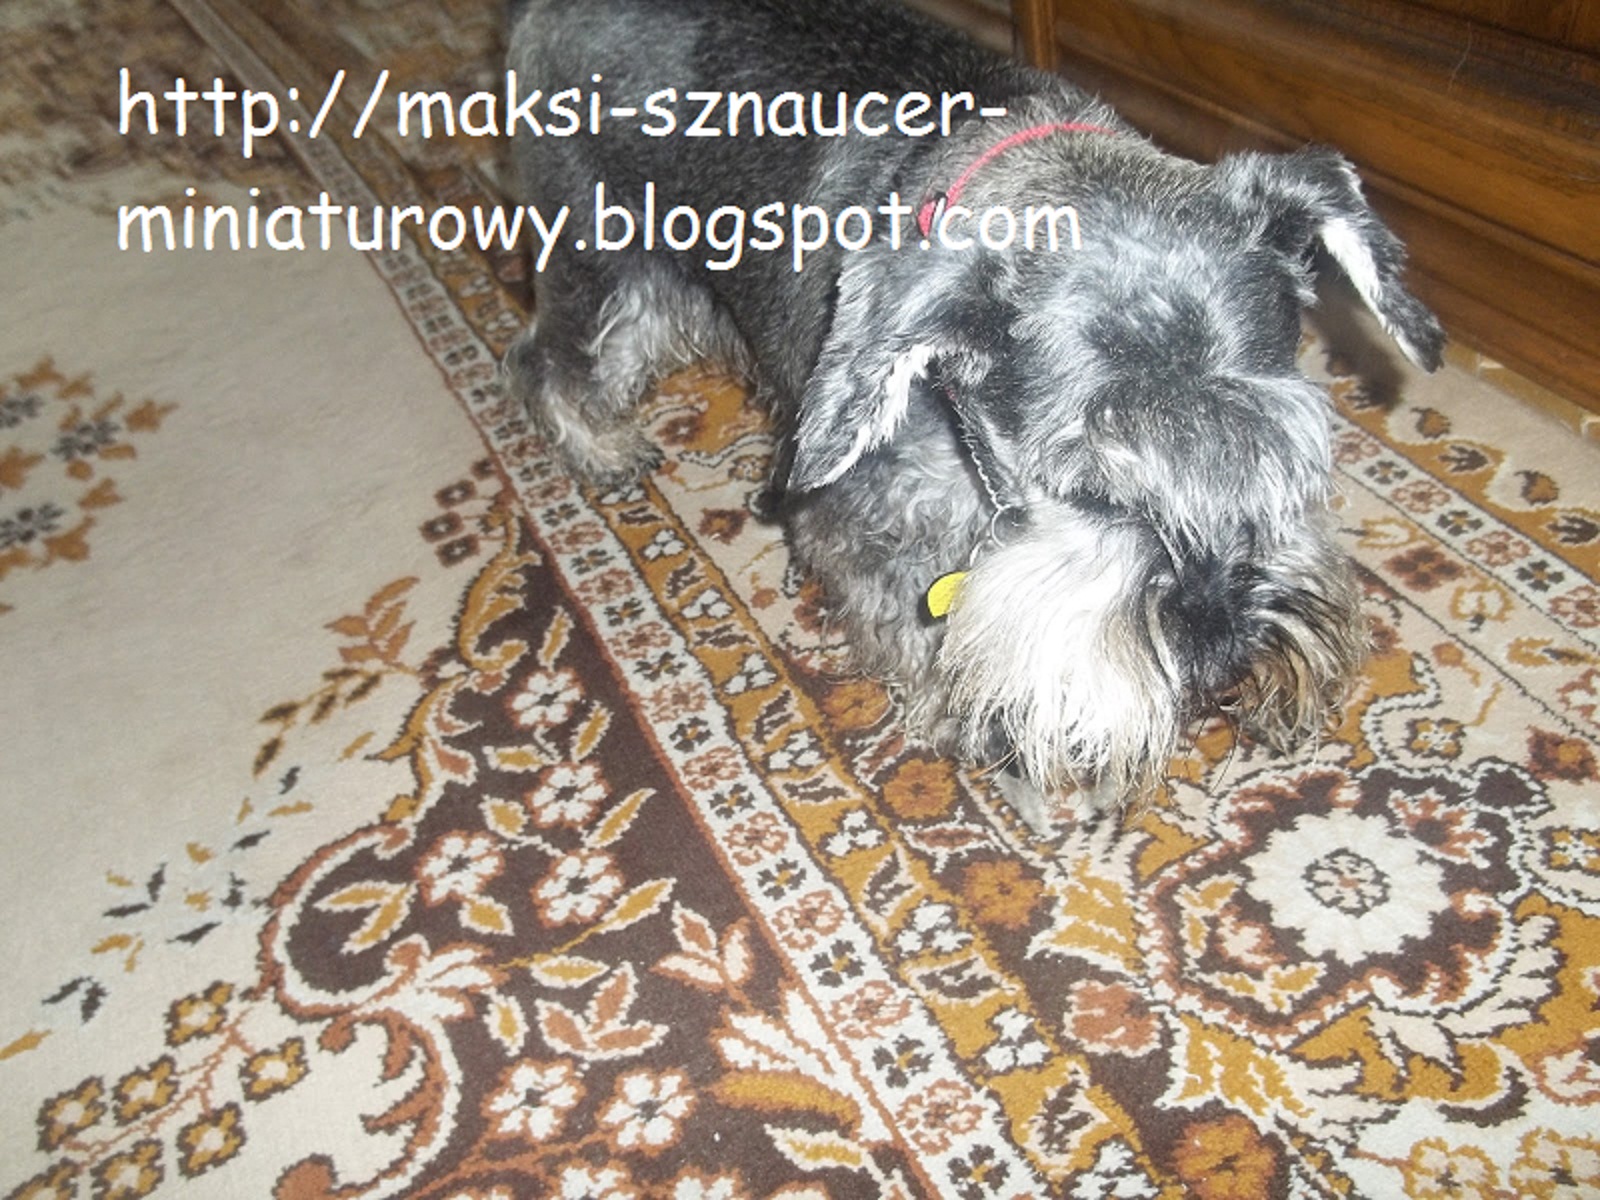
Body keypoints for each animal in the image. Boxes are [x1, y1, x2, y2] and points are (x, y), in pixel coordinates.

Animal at [503, 0, 1445, 826]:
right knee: (548, 357)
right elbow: (930, 637)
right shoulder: (866, 527)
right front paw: (998, 741)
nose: (1220, 660)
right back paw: (601, 446)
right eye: (1090, 488)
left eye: (1286, 460)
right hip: (596, 247)